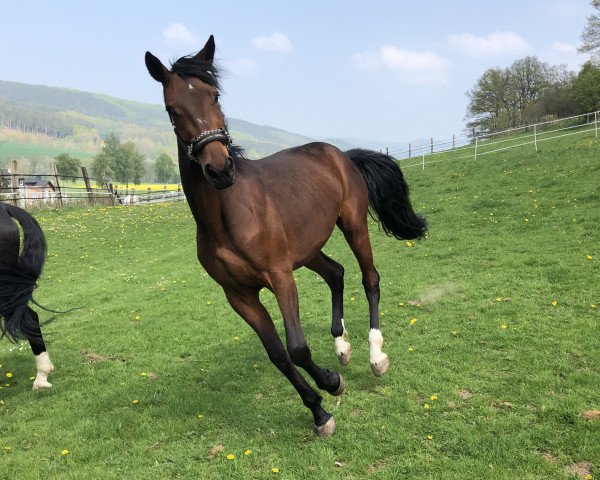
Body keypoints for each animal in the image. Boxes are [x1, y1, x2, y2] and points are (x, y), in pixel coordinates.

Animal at [145, 35, 426, 436]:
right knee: (336, 273)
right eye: (171, 109)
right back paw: (342, 348)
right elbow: (278, 354)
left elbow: (297, 348)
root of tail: (340, 154)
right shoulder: (240, 295)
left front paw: (331, 384)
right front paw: (319, 410)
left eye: (215, 95)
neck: (226, 218)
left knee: (369, 278)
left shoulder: (279, 277)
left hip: (353, 225)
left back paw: (376, 355)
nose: (219, 169)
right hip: (307, 250)